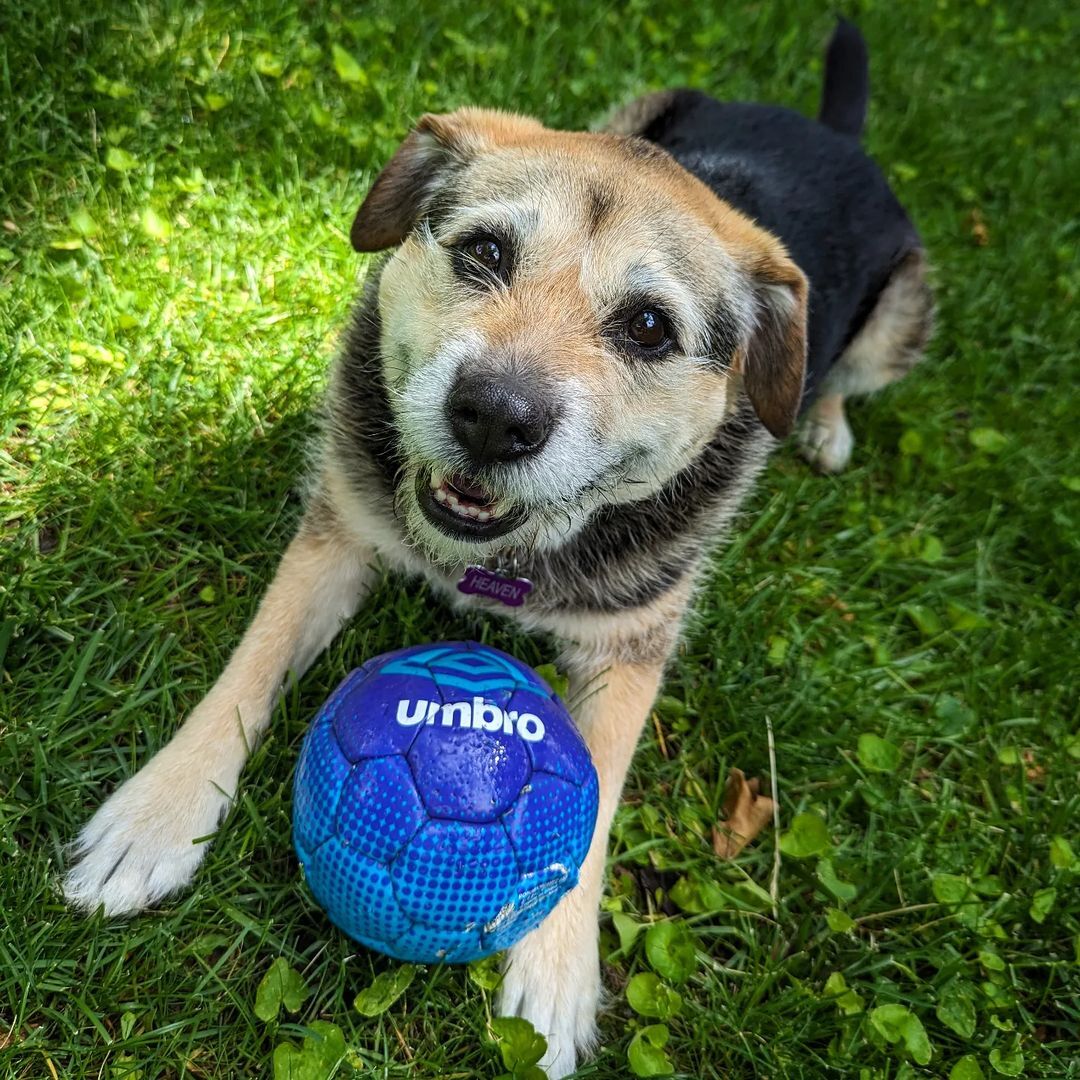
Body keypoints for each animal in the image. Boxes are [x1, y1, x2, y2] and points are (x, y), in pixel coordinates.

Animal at [65, 19, 928, 1080]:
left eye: (650, 326)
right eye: (483, 250)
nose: (494, 417)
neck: (502, 555)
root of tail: (831, 130)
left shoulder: (632, 647)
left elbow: (598, 790)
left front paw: (555, 971)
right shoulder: (339, 531)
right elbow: (248, 669)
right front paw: (156, 816)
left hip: (893, 325)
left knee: (846, 374)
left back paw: (828, 426)